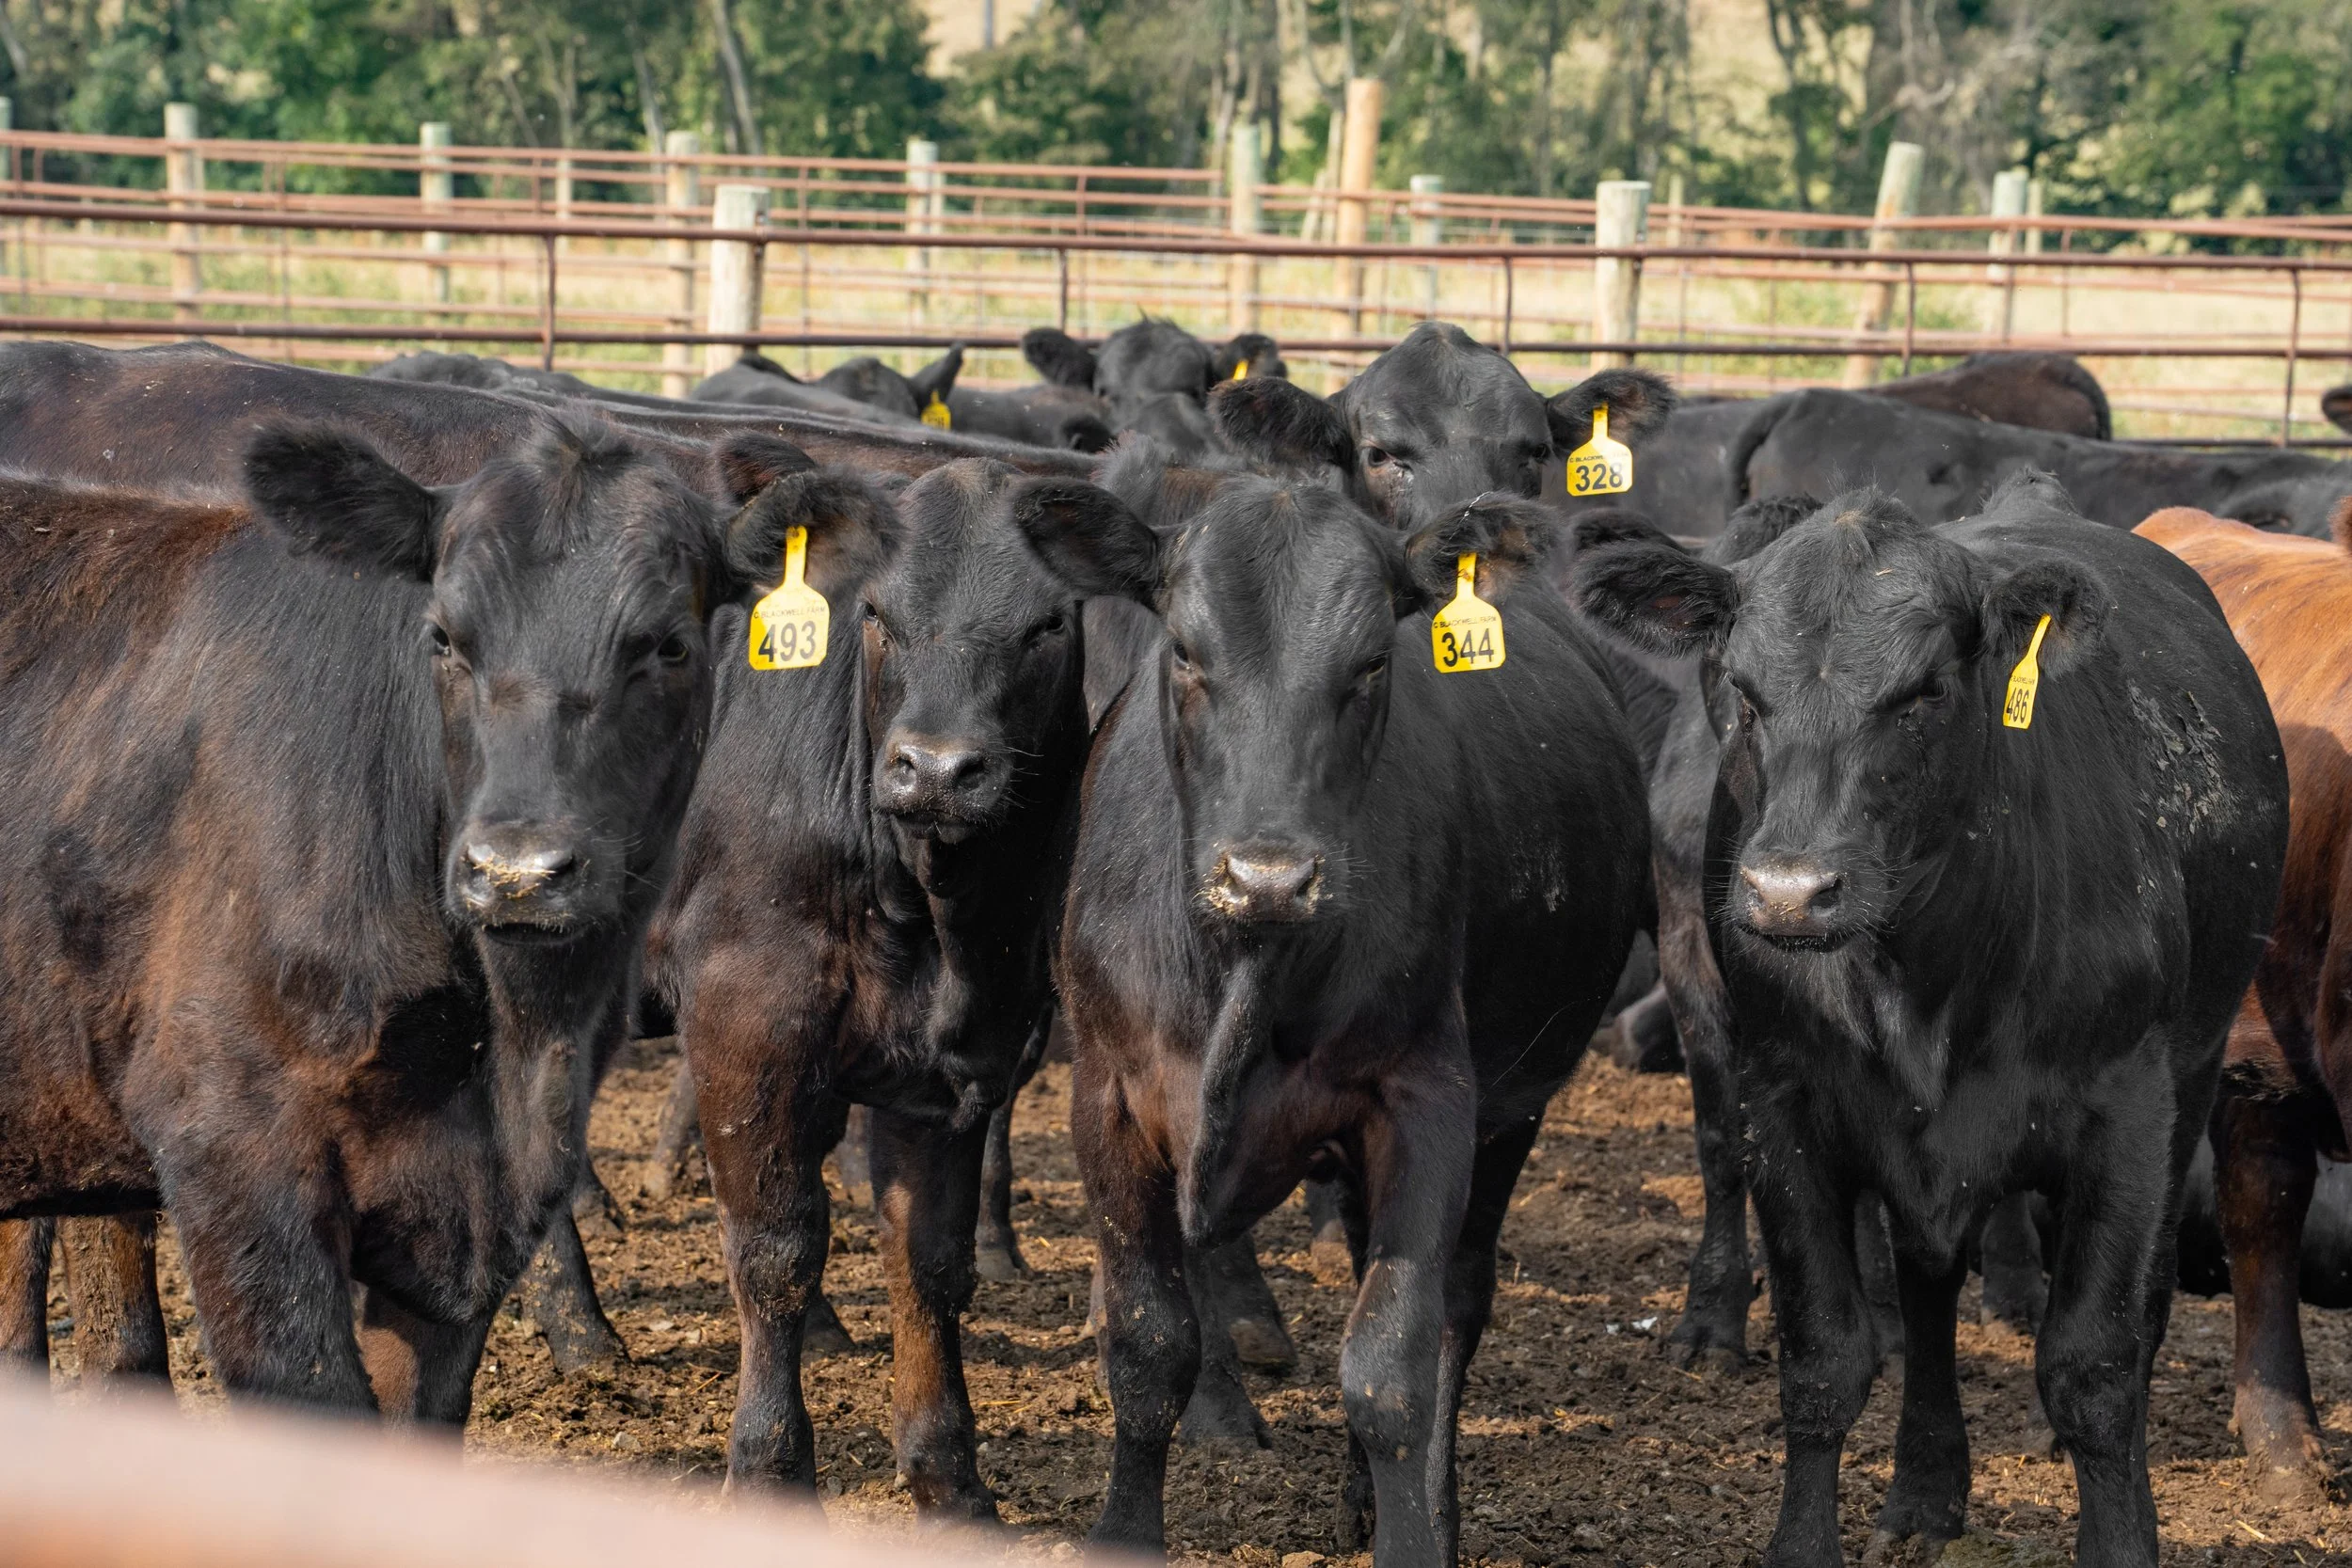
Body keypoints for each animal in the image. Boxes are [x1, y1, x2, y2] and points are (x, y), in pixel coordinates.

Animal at [0, 414, 813, 1415]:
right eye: (445, 638)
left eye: (667, 645)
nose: (517, 872)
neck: (511, 1045)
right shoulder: (231, 1150)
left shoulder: (462, 1227)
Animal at [640, 458, 1102, 1516]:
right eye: (880, 613)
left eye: (1048, 623)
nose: (936, 767)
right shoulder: (745, 1026)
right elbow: (774, 1249)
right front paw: (769, 1472)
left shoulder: (958, 1060)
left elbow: (928, 1260)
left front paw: (950, 1479)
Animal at [1017, 445, 1651, 1564]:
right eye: (1185, 652)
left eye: (1371, 664)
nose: (1269, 875)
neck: (1246, 964)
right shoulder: (1107, 1093)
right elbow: (1146, 1339)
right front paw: (1125, 1531)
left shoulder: (1426, 1097)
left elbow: (1391, 1361)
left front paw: (1413, 1541)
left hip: (1510, 1106)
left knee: (1455, 1305)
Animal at [1573, 474, 2289, 1566]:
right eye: (1744, 691)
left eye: (1924, 693)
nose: (1790, 892)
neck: (1921, 973)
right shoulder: (1787, 1104)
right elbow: (1824, 1356)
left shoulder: (2127, 1111)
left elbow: (2092, 1362)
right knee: (1926, 1289)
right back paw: (1925, 1487)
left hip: (2193, 1068)